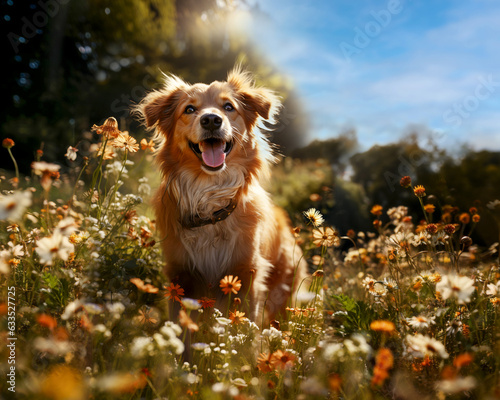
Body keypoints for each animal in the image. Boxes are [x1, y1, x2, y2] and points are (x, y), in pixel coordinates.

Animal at [137, 67, 308, 324]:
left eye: (228, 107)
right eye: (189, 109)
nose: (211, 120)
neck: (210, 196)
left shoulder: (246, 275)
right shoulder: (180, 277)